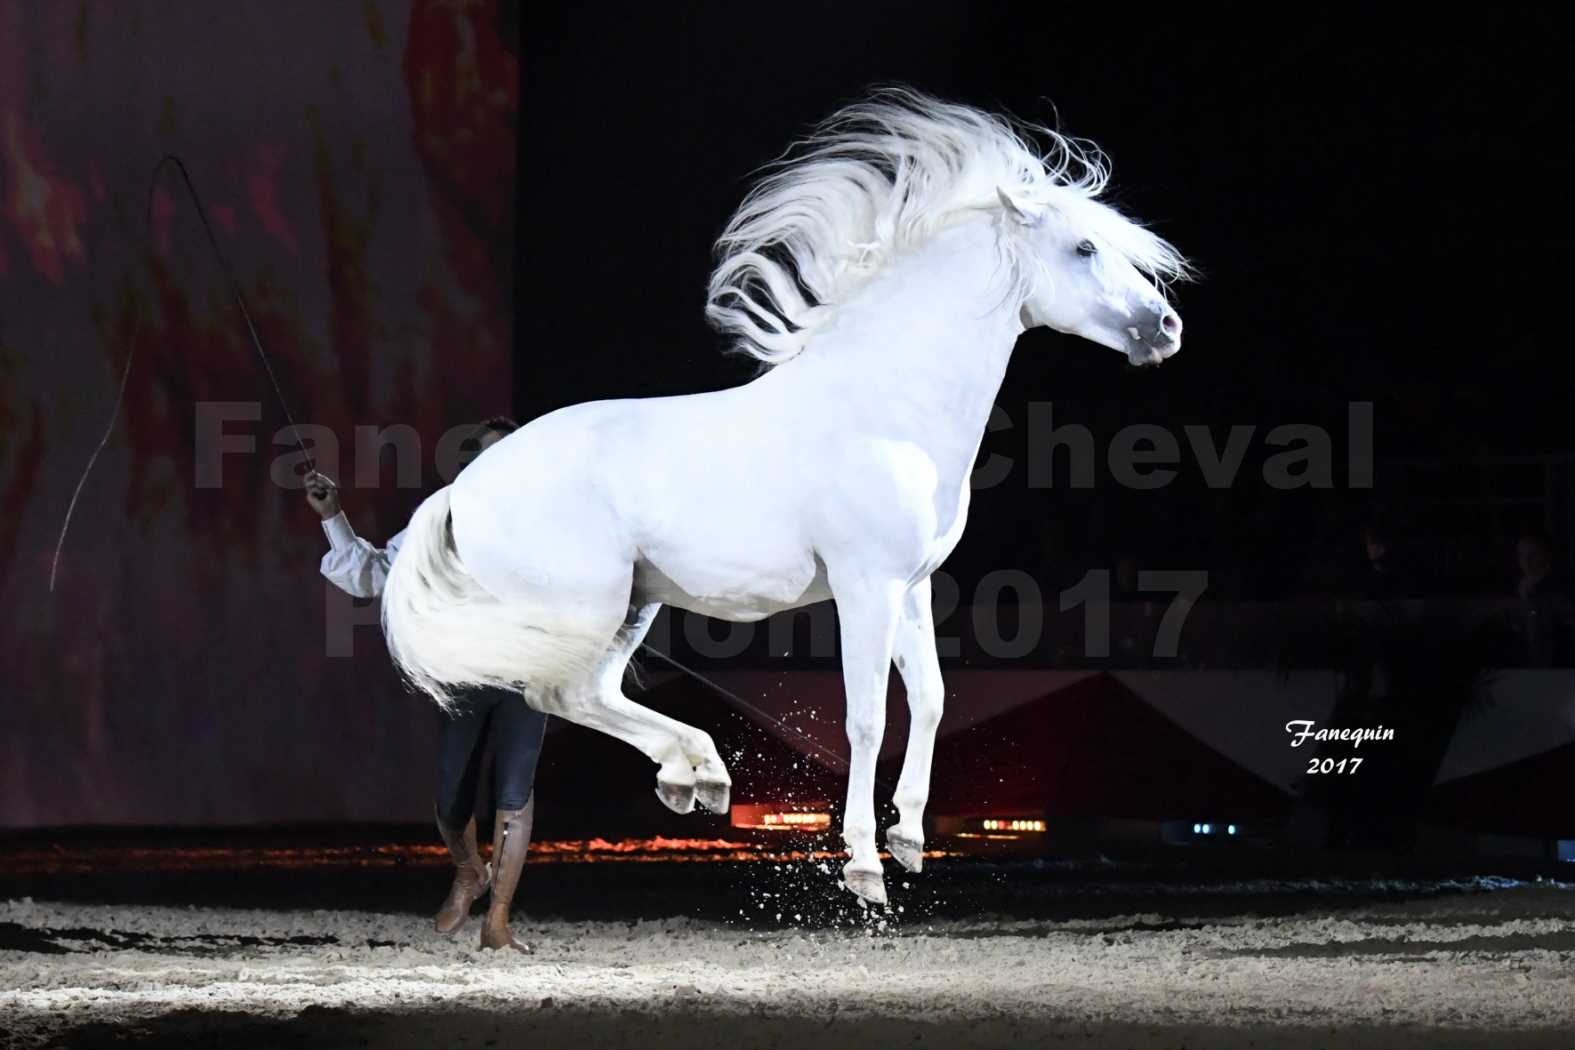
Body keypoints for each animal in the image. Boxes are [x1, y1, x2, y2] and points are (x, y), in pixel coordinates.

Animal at [384, 90, 1190, 906]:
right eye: (1083, 248)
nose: (1165, 328)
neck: (888, 409)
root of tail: (463, 487)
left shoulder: (911, 586)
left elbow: (930, 698)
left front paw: (909, 839)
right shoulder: (865, 587)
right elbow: (866, 717)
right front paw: (864, 867)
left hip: (630, 605)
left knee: (581, 697)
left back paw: (698, 776)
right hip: (584, 607)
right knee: (560, 696)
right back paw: (696, 773)